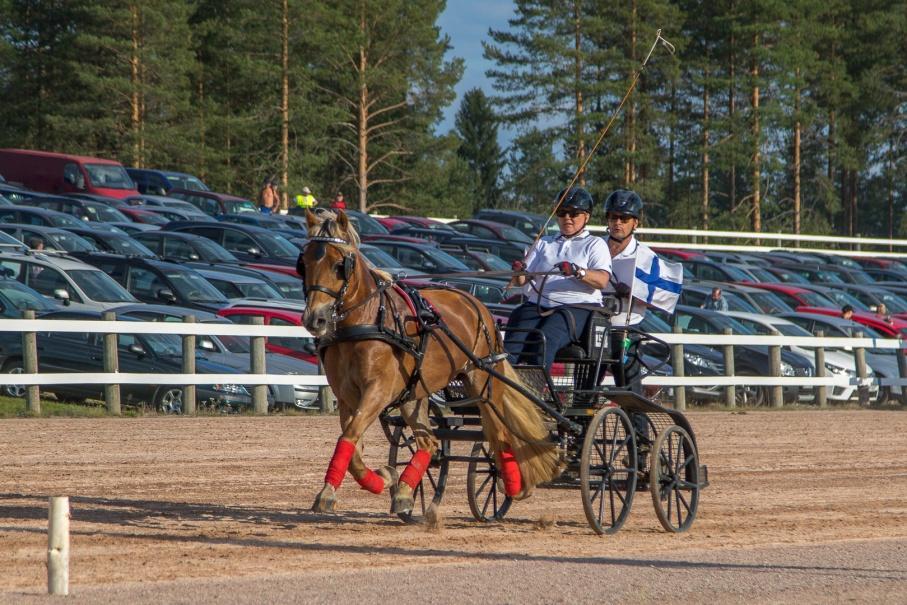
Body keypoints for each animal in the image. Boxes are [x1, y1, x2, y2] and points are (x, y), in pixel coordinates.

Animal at [302, 209, 564, 516]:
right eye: (304, 262)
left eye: (338, 265)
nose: (315, 318)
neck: (367, 321)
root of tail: (478, 305)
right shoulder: (346, 396)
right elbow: (351, 444)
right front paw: (379, 479)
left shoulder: (378, 391)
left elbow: (349, 437)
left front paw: (370, 481)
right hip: (414, 395)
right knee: (430, 441)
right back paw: (405, 491)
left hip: (483, 384)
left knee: (500, 434)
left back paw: (510, 485)